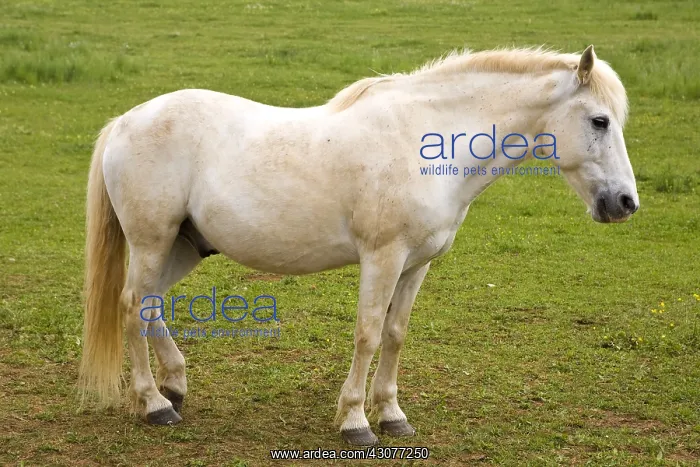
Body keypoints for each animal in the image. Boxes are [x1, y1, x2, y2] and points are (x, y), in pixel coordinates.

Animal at [79, 45, 638, 446]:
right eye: (599, 121)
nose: (625, 203)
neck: (426, 142)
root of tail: (127, 121)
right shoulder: (382, 258)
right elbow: (367, 334)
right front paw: (355, 421)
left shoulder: (415, 265)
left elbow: (395, 334)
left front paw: (391, 415)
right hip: (152, 242)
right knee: (131, 306)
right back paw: (154, 405)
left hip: (181, 247)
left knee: (150, 305)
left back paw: (174, 389)